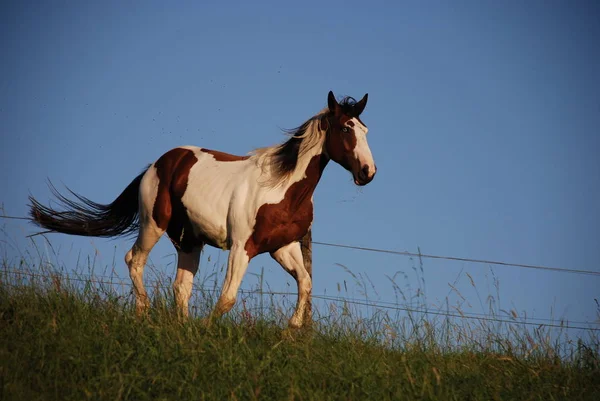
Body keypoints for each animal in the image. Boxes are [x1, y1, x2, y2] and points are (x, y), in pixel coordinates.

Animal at [29, 91, 376, 328]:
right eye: (346, 129)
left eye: (365, 130)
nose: (368, 172)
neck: (282, 186)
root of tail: (157, 164)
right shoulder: (242, 247)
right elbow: (227, 297)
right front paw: (207, 329)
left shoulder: (283, 247)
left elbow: (305, 283)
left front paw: (290, 331)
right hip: (153, 224)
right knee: (134, 260)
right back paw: (144, 311)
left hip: (188, 240)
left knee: (181, 287)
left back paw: (180, 328)